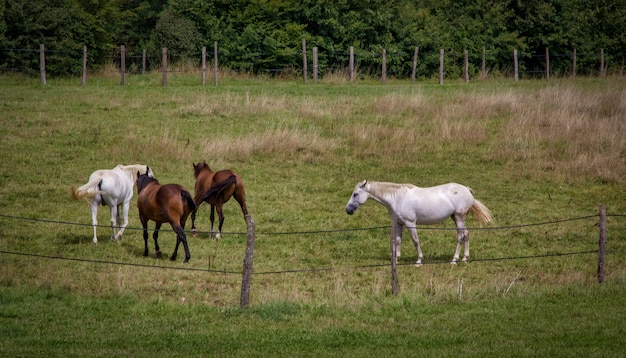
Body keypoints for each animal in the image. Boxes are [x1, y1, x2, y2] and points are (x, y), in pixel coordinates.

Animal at [344, 180, 490, 264]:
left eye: (355, 194)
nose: (348, 210)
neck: (397, 198)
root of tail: (467, 189)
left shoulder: (410, 223)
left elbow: (415, 240)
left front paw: (419, 260)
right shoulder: (399, 223)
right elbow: (398, 241)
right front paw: (396, 259)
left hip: (459, 218)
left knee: (460, 237)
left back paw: (454, 260)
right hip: (456, 218)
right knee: (466, 234)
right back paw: (465, 258)